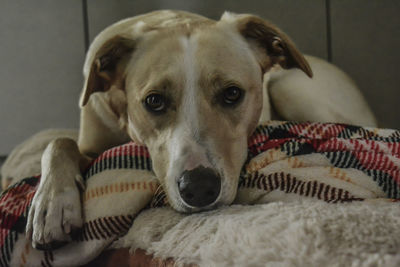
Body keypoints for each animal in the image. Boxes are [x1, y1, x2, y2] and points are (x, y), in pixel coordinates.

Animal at [20, 9, 376, 250]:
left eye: (232, 93)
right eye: (154, 101)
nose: (199, 188)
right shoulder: (91, 142)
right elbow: (58, 142)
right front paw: (52, 203)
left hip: (291, 86)